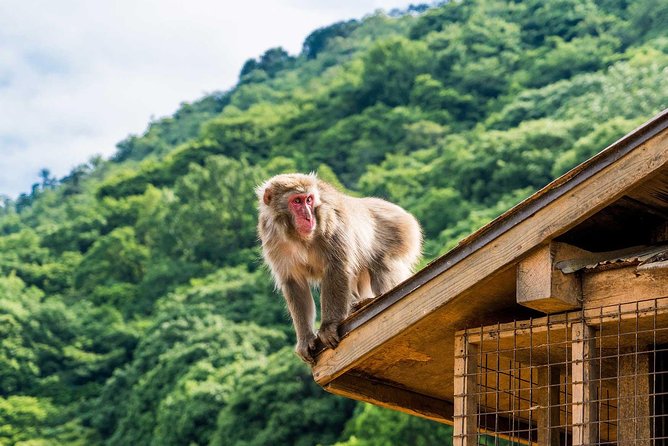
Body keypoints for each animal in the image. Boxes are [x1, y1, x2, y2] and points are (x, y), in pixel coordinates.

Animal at [257, 173, 422, 364]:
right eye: (297, 201)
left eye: (309, 200)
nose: (309, 217)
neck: (298, 237)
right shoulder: (273, 238)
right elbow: (294, 283)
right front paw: (305, 338)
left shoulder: (330, 222)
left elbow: (337, 268)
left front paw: (328, 326)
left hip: (402, 233)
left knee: (383, 265)